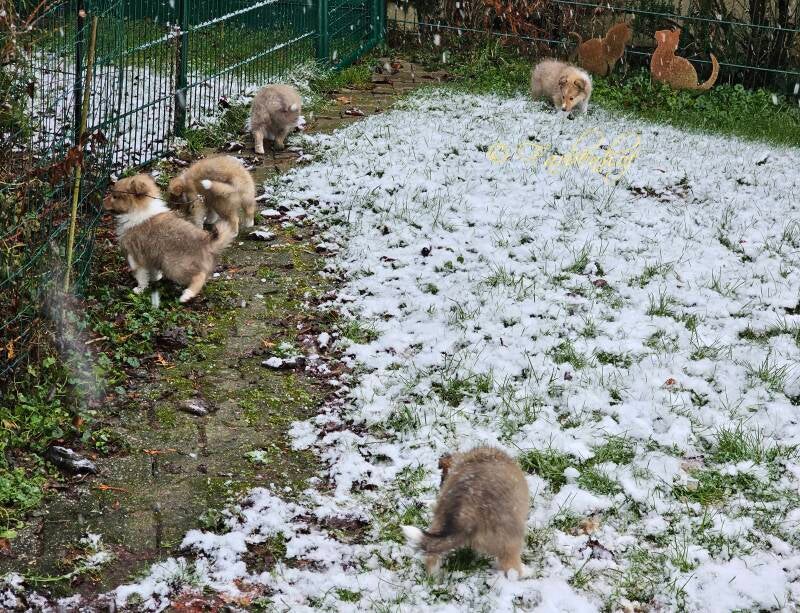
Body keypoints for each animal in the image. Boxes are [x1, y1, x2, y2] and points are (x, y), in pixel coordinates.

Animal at [103, 174, 234, 303]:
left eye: (115, 196)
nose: (102, 201)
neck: (140, 210)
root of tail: (207, 242)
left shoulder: (134, 256)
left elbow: (141, 276)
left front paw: (140, 289)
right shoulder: (150, 255)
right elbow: (152, 270)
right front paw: (156, 277)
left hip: (174, 266)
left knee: (199, 276)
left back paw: (187, 295)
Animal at [401, 446, 530, 578]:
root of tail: (466, 512)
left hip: (439, 522)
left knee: (431, 552)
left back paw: (434, 578)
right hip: (509, 542)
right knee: (511, 568)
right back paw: (523, 574)